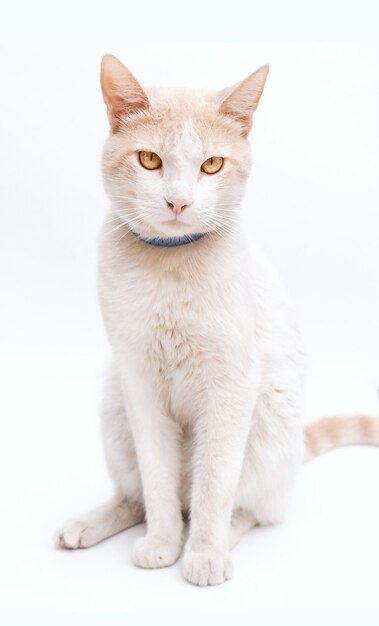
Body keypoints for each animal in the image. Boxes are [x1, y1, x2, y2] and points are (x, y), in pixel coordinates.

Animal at [55, 54, 379, 584]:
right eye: (150, 160)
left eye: (211, 165)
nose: (178, 202)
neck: (170, 267)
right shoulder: (139, 383)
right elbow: (158, 481)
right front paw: (163, 544)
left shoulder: (230, 386)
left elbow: (214, 483)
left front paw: (203, 552)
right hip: (114, 403)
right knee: (136, 497)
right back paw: (86, 526)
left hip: (269, 418)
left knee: (254, 508)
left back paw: (222, 535)